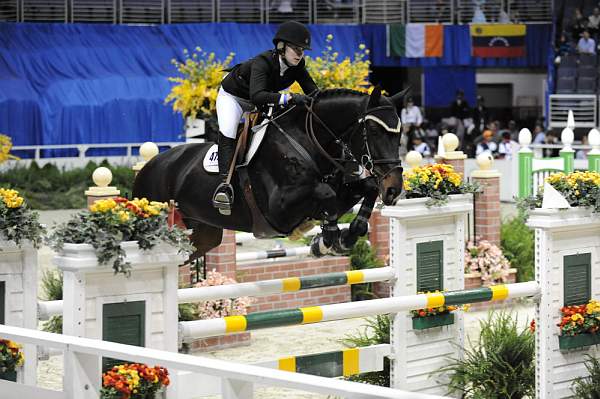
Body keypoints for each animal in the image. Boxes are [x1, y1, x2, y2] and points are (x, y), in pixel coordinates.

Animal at [135, 87, 408, 260]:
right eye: (374, 131)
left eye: (399, 133)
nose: (394, 189)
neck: (307, 141)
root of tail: (146, 168)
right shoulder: (278, 210)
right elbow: (326, 194)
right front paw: (325, 241)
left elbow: (368, 188)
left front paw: (345, 238)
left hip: (204, 235)